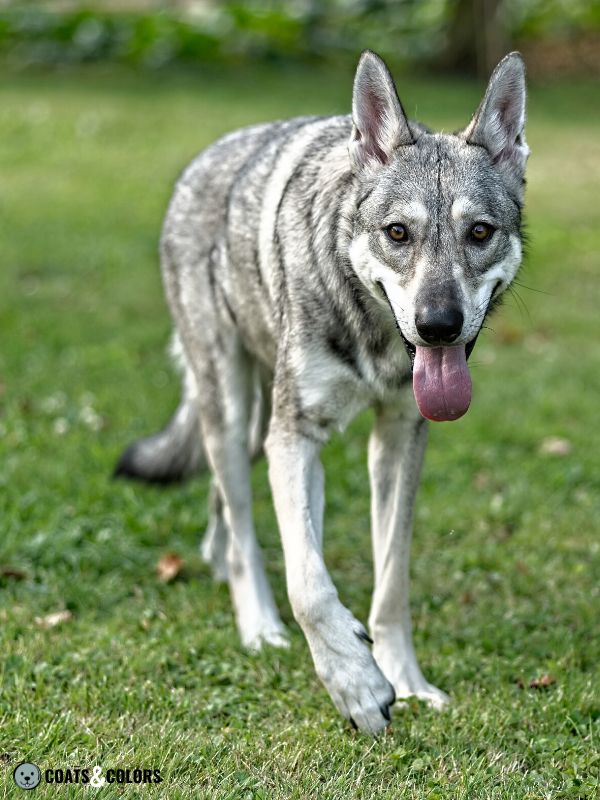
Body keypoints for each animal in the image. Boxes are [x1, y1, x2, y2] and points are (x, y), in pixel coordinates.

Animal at [115, 50, 528, 736]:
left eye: (479, 232)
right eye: (397, 233)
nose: (438, 325)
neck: (374, 335)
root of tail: (201, 162)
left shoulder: (398, 438)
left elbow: (391, 580)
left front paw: (405, 679)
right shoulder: (295, 438)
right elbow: (308, 584)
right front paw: (356, 684)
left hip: (253, 426)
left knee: (224, 514)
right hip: (236, 414)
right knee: (244, 532)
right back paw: (259, 628)